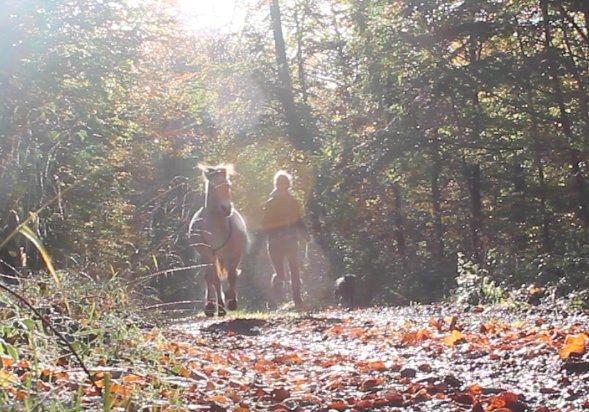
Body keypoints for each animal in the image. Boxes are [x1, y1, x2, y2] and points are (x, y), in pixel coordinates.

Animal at [187, 163, 245, 316]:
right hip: (206, 256)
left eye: (228, 185)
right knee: (209, 277)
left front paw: (232, 302)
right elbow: (215, 279)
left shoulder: (235, 253)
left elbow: (232, 275)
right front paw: (221, 306)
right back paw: (211, 306)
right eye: (212, 187)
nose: (226, 208)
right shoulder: (207, 253)